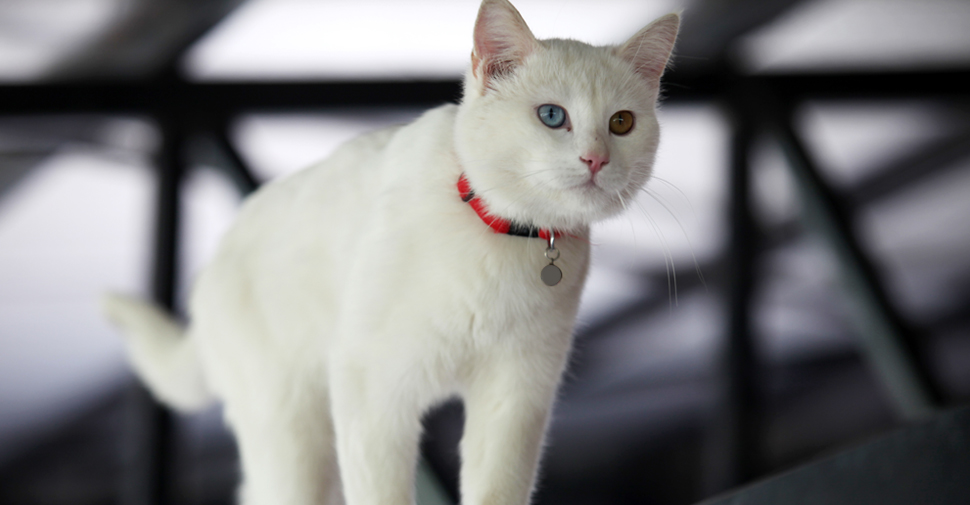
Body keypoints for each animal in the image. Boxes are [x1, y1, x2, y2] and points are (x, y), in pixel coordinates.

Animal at [102, 0, 676, 504]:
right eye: (552, 116)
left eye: (621, 123)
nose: (596, 159)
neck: (509, 238)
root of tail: (210, 271)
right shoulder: (373, 391)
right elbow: (383, 495)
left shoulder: (515, 397)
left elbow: (496, 490)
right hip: (293, 436)